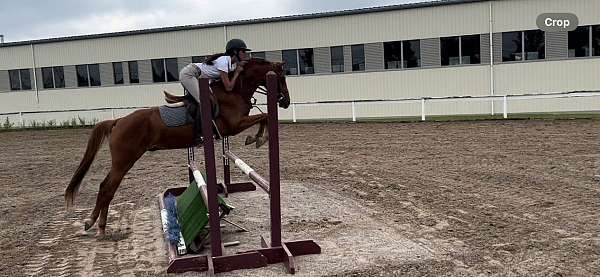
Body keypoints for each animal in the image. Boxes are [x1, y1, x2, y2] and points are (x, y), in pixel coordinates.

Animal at [64, 58, 290, 235]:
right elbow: (265, 116)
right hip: (124, 160)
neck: (233, 91)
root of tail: (118, 121)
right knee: (107, 188)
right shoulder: (234, 125)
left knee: (106, 187)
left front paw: (256, 138)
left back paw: (95, 223)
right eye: (281, 77)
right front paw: (258, 139)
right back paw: (97, 225)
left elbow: (264, 116)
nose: (286, 102)